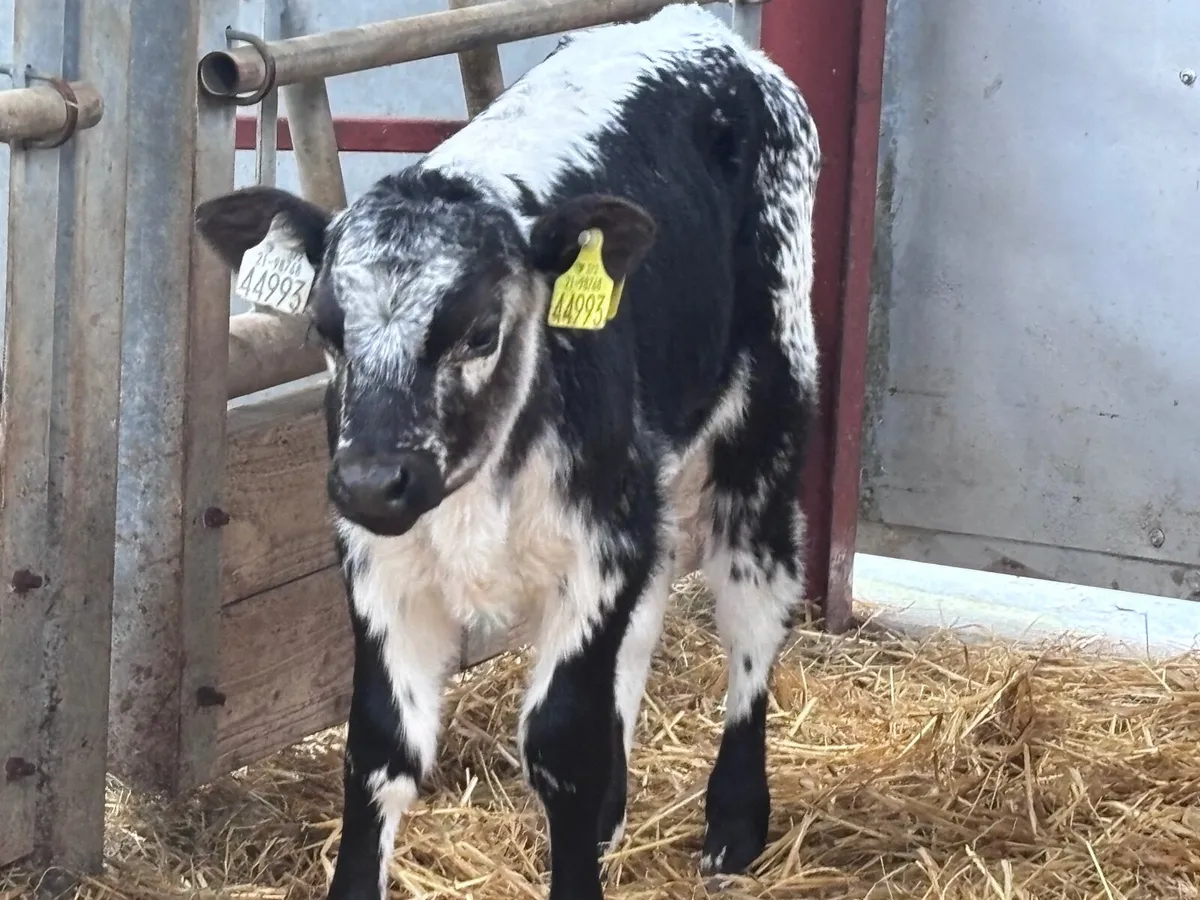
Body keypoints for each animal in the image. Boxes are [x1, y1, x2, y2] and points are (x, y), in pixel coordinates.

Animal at [195, 5, 819, 898]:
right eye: (324, 330)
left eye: (481, 332)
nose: (372, 482)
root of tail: (698, 30)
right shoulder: (381, 567)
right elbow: (380, 748)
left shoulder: (598, 550)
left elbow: (563, 744)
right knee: (654, 605)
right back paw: (615, 814)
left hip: (773, 399)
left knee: (752, 600)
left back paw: (735, 822)